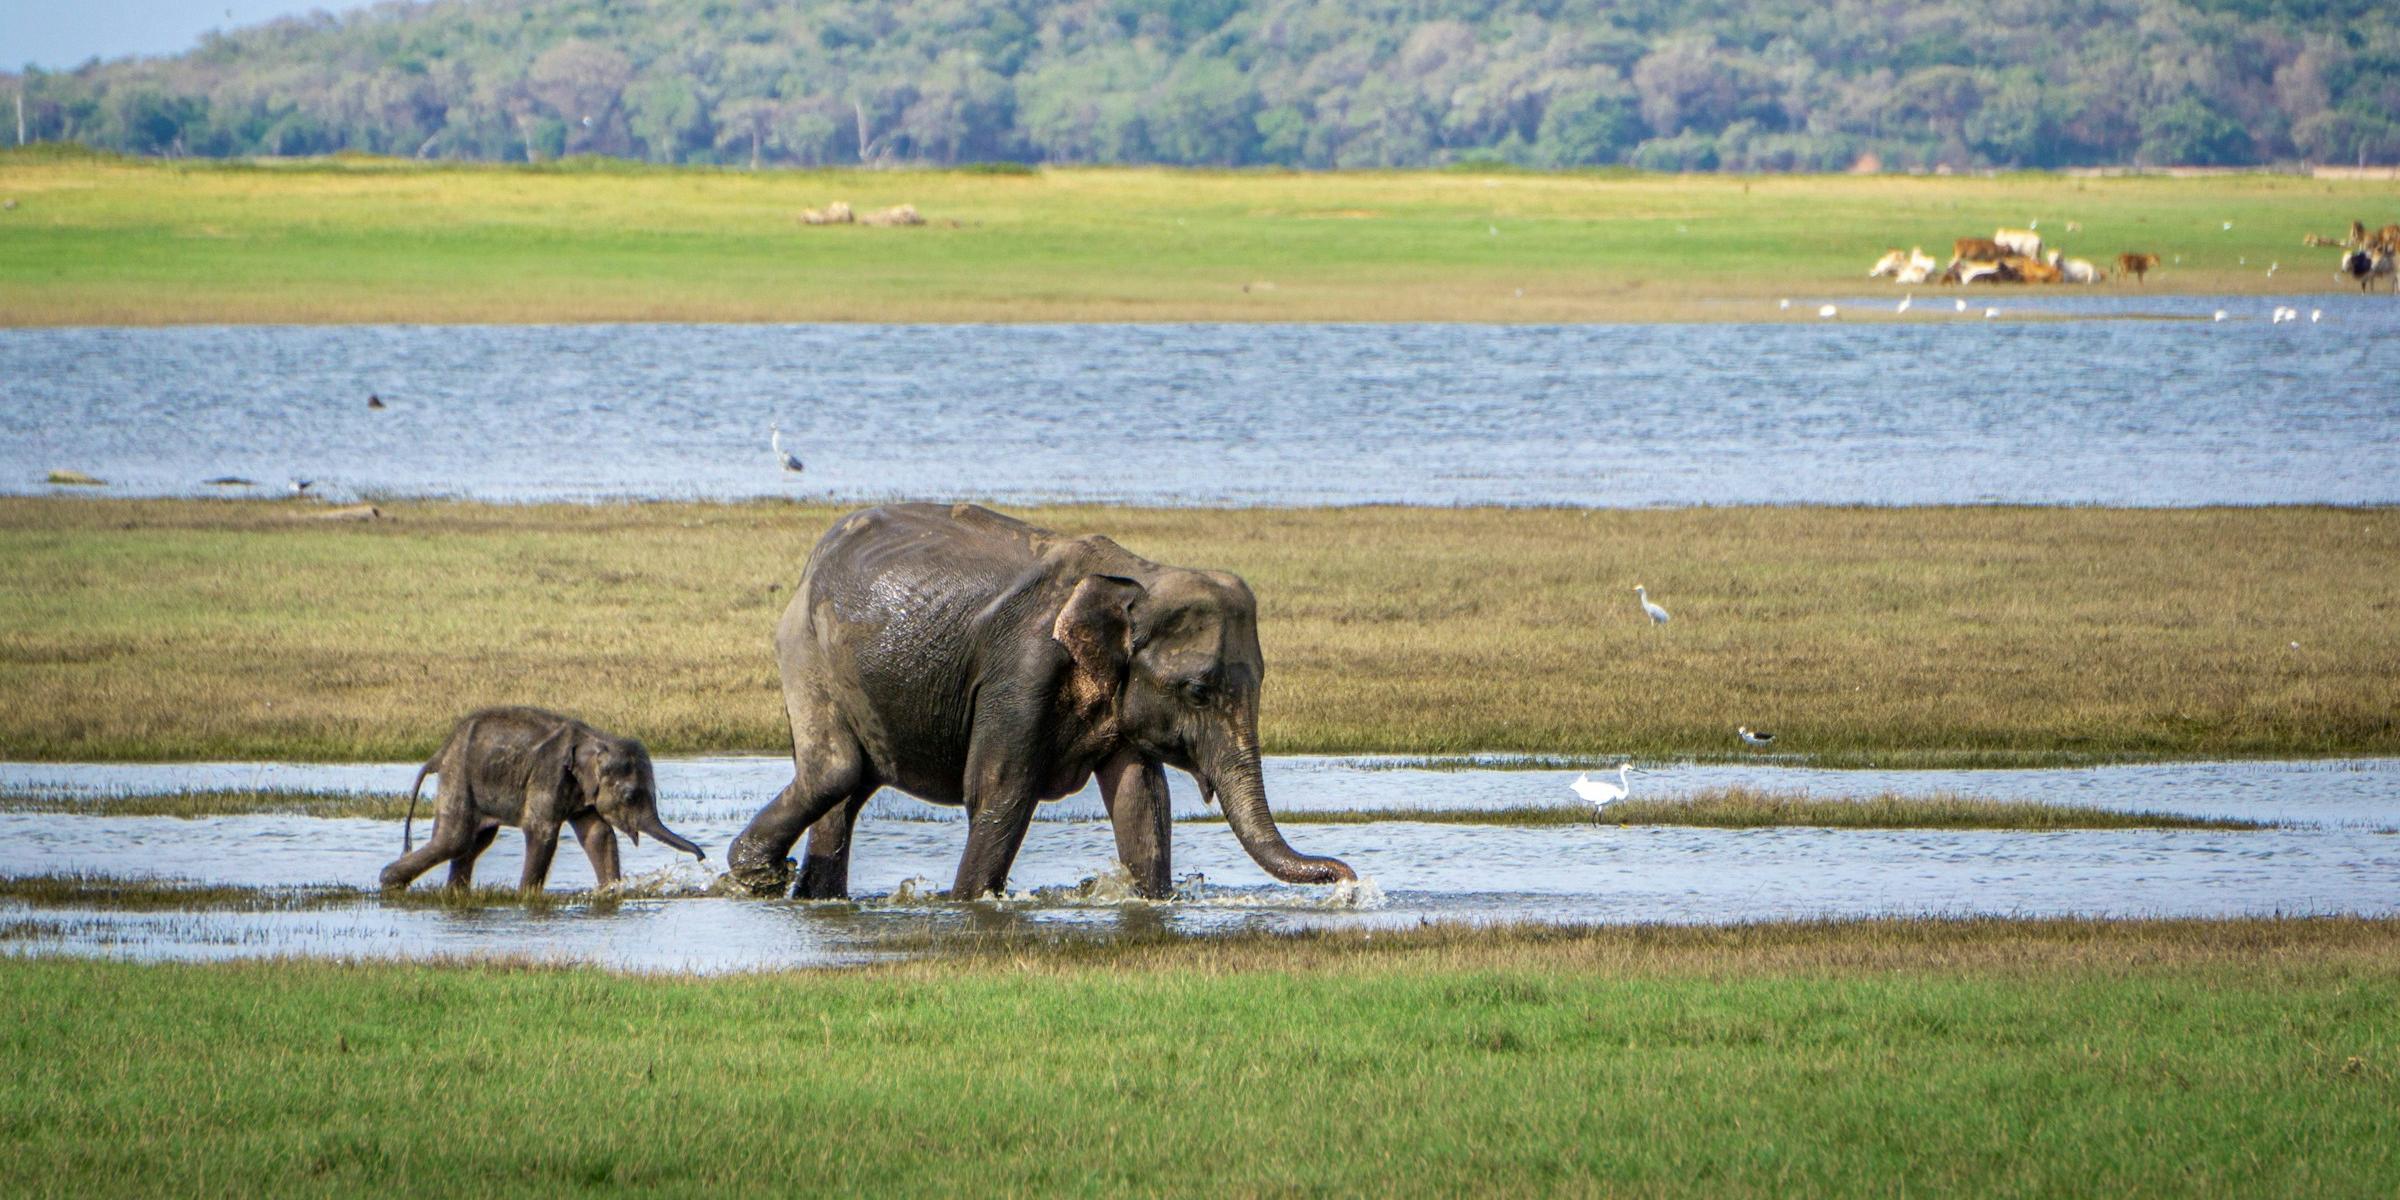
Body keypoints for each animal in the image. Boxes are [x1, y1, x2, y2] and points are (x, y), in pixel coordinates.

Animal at [379, 705, 705, 897]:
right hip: (459, 775)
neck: (594, 739)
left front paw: (610, 892)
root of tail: (440, 752)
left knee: (475, 841)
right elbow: (542, 831)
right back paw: (388, 882)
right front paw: (525, 897)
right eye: (629, 796)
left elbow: (597, 834)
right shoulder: (548, 774)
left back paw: (453, 893)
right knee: (455, 838)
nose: (702, 858)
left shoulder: (579, 788)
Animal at [729, 499, 1353, 902]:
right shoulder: (1022, 671)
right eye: (1197, 691)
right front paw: (968, 905)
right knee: (835, 769)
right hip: (805, 649)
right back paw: (757, 875)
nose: (1347, 877)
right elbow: (999, 791)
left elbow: (1141, 801)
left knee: (849, 787)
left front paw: (1153, 902)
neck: (1137, 580)